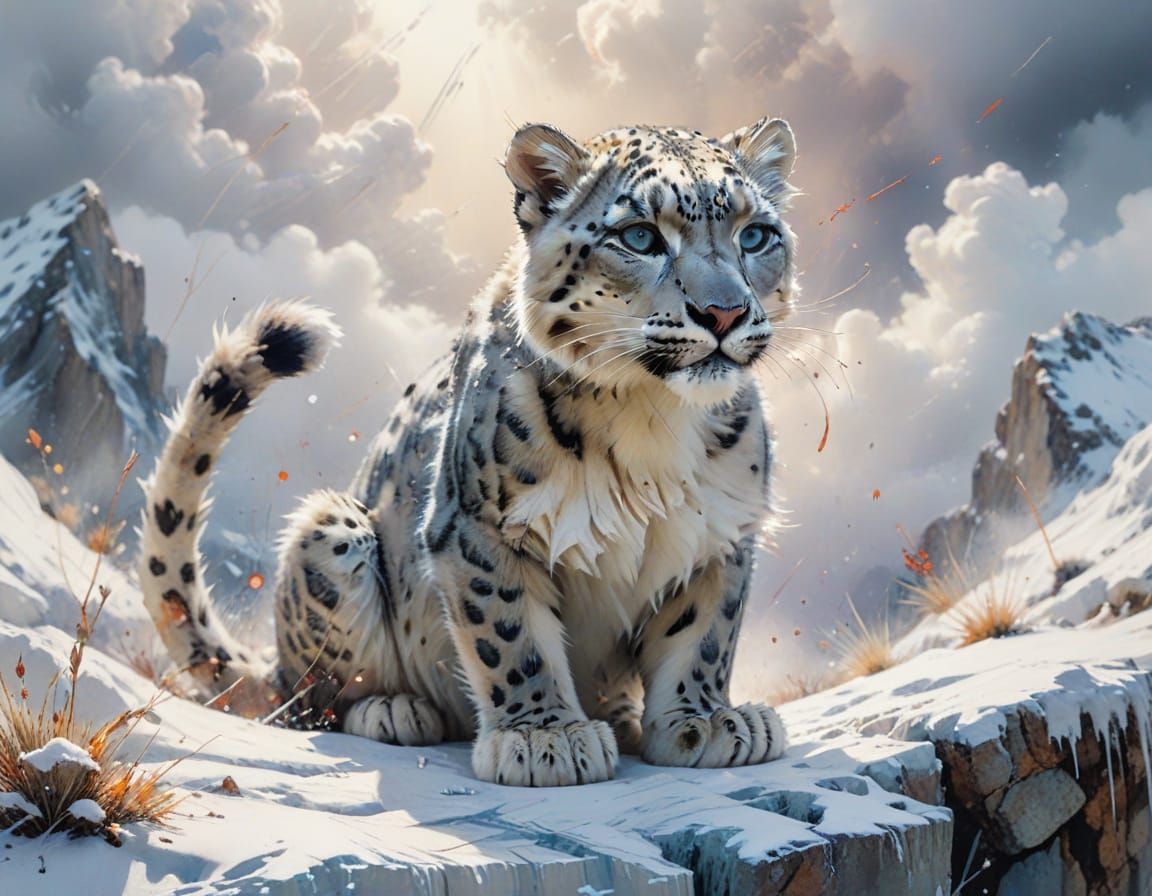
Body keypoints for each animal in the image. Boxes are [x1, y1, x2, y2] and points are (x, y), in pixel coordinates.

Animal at [138, 117, 799, 787]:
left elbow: (704, 634)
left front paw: (706, 723)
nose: (724, 312)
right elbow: (510, 634)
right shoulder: (481, 526)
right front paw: (545, 738)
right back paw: (395, 709)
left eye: (755, 235)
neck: (652, 416)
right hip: (332, 534)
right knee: (314, 700)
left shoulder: (721, 534)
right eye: (639, 235)